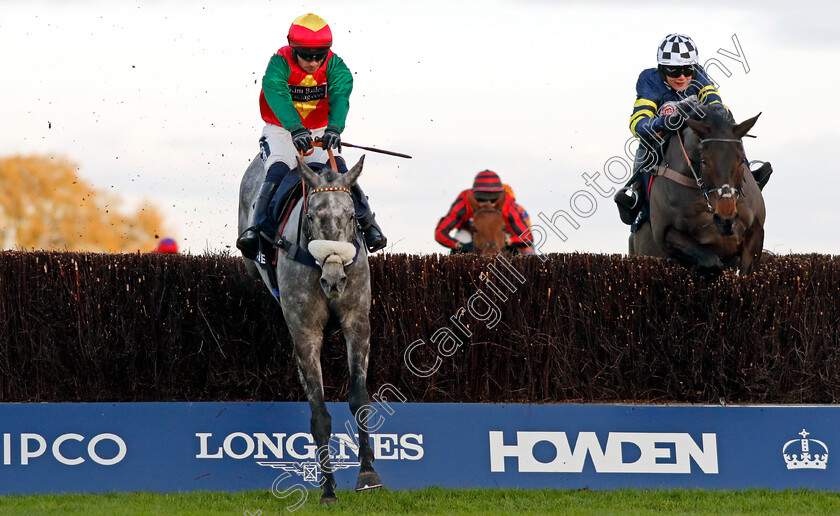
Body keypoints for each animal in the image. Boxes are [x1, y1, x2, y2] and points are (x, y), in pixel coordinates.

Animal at [236, 155, 380, 502]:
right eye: (312, 217)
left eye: (352, 215)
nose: (334, 279)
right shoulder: (305, 331)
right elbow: (319, 414)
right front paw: (327, 488)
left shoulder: (357, 322)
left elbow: (359, 399)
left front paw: (368, 474)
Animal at [632, 103, 768, 276]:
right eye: (704, 161)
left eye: (741, 159)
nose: (726, 217)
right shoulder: (665, 233)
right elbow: (710, 262)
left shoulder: (755, 231)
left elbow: (746, 271)